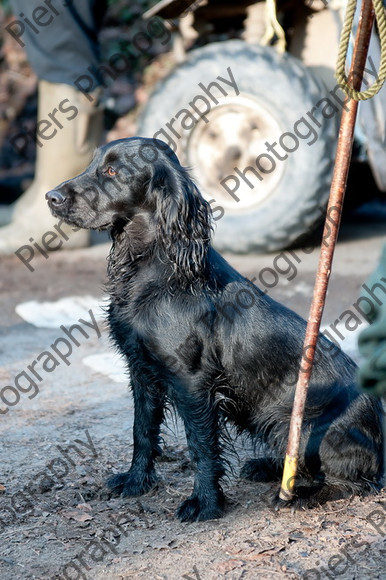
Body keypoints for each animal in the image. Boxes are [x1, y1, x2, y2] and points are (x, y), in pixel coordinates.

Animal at [46, 138, 382, 524]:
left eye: (112, 171)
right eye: (92, 165)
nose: (51, 197)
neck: (156, 266)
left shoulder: (193, 381)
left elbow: (201, 446)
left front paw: (205, 503)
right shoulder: (141, 369)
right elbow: (142, 431)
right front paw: (136, 481)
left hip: (301, 426)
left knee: (353, 482)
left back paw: (299, 496)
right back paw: (266, 467)